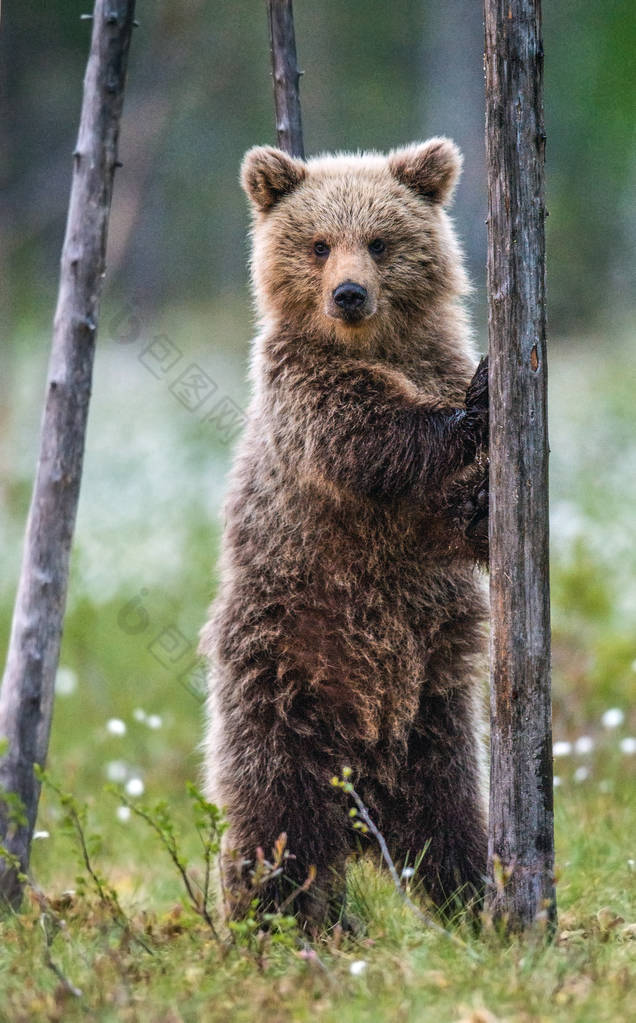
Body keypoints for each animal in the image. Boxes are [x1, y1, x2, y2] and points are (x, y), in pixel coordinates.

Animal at [201, 140, 490, 932]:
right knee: (278, 828)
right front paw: (473, 410)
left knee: (451, 822)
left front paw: (489, 493)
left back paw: (477, 904)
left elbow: (453, 520)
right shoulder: (303, 397)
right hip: (276, 686)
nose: (349, 295)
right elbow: (368, 437)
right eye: (319, 243)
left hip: (434, 719)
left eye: (381, 242)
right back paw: (277, 924)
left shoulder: (433, 361)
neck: (376, 346)